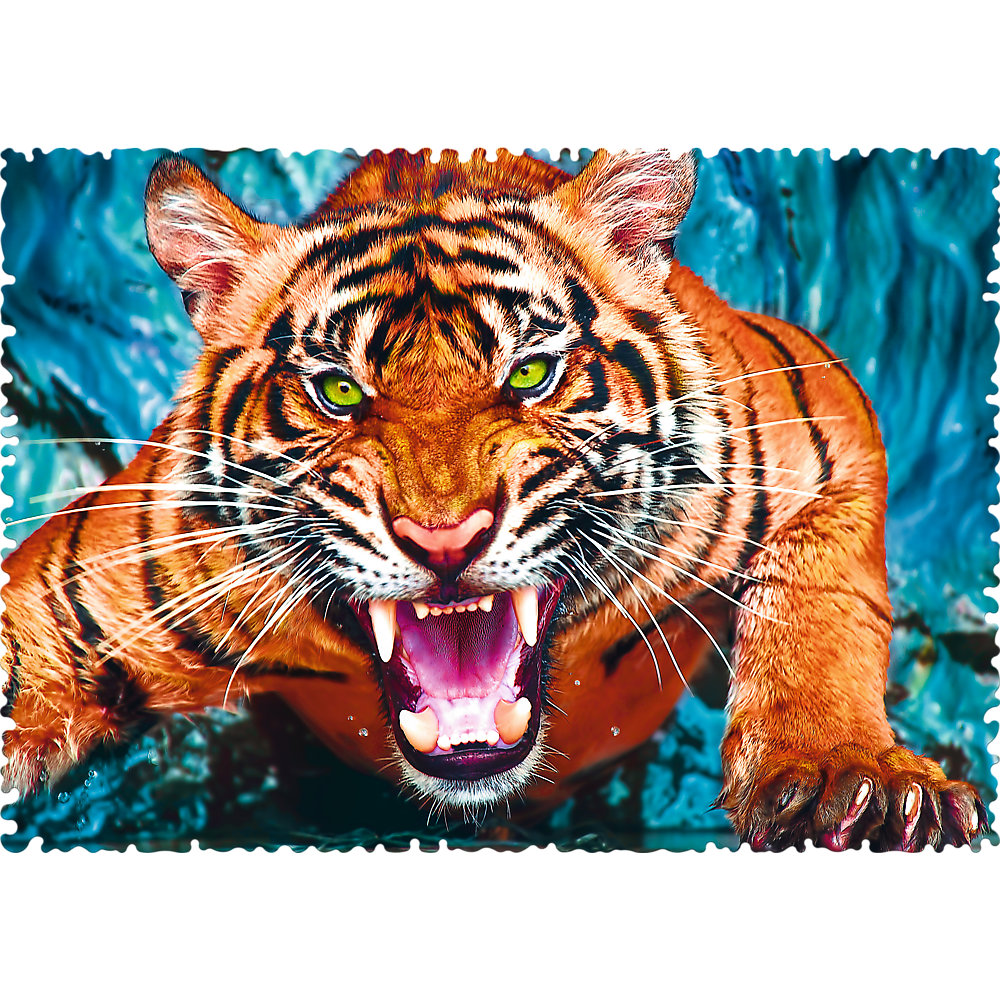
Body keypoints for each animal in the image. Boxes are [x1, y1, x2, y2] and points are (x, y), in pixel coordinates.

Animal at [0, 147, 988, 850]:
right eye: (340, 392)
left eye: (530, 374)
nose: (445, 540)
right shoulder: (83, 584)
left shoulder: (820, 419)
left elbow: (818, 600)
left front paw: (845, 777)